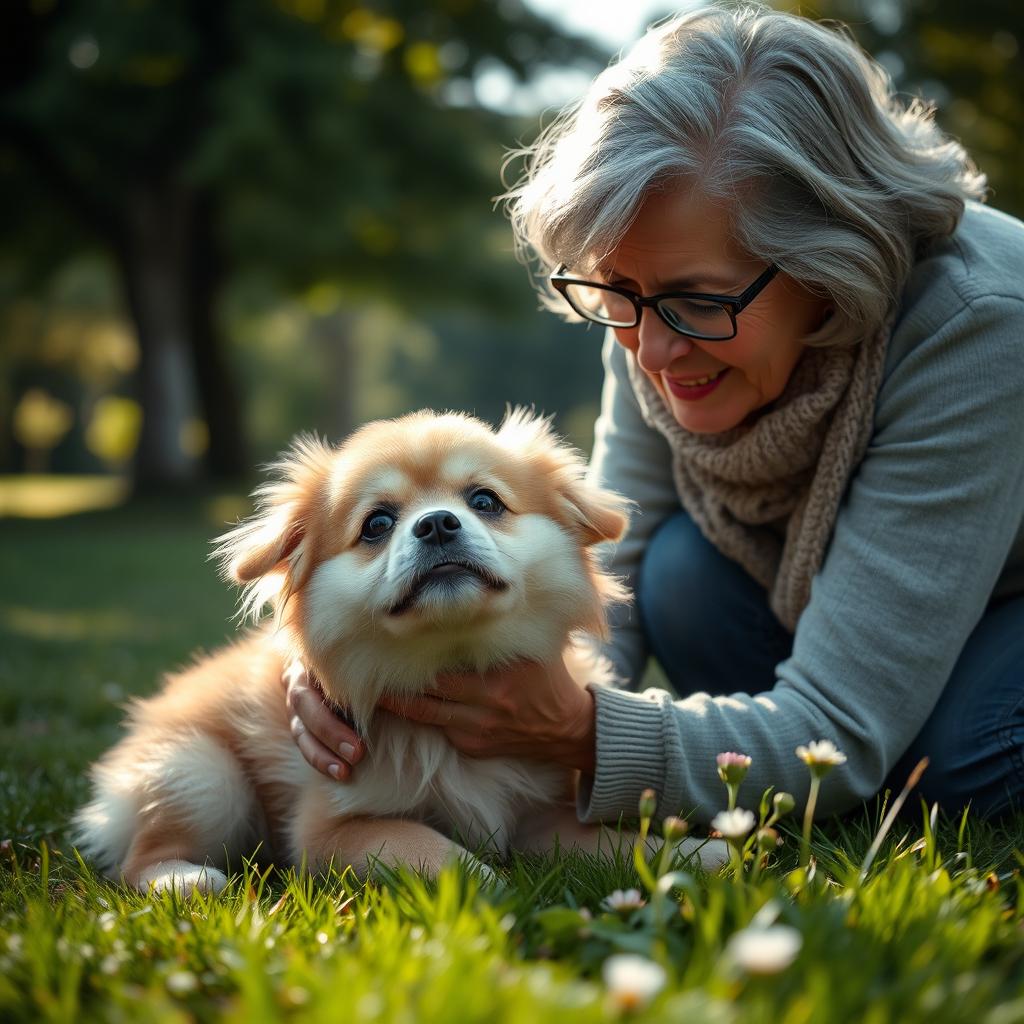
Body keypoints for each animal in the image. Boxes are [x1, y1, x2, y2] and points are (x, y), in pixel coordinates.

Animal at [74, 411, 720, 892]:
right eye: (378, 524)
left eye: (485, 501)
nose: (436, 523)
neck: (449, 660)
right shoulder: (335, 830)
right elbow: (434, 851)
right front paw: (488, 885)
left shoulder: (543, 817)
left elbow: (622, 845)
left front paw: (701, 854)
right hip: (203, 774)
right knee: (140, 859)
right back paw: (183, 880)